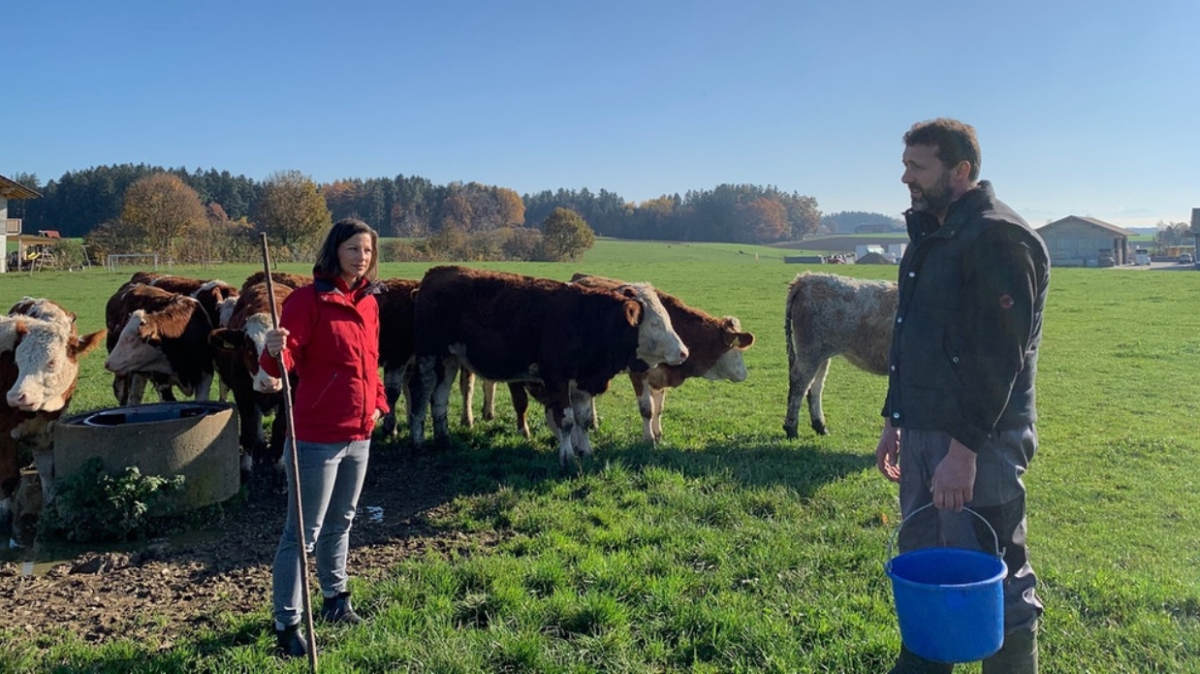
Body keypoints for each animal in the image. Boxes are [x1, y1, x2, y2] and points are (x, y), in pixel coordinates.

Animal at [208, 280, 292, 470]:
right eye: (248, 348)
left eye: (282, 347)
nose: (269, 384)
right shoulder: (242, 395)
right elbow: (249, 429)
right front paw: (246, 464)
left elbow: (280, 427)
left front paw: (280, 462)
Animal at [410, 265, 686, 465]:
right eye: (654, 323)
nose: (684, 352)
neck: (586, 319)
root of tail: (436, 272)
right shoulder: (557, 378)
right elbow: (566, 420)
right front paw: (567, 458)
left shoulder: (582, 381)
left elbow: (583, 419)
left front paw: (586, 452)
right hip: (428, 355)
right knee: (422, 394)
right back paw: (417, 441)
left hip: (450, 358)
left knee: (440, 397)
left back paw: (444, 440)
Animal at [782, 271, 897, 436]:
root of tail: (806, 278)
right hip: (810, 351)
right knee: (800, 384)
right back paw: (791, 428)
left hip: (821, 354)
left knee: (815, 386)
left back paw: (820, 426)